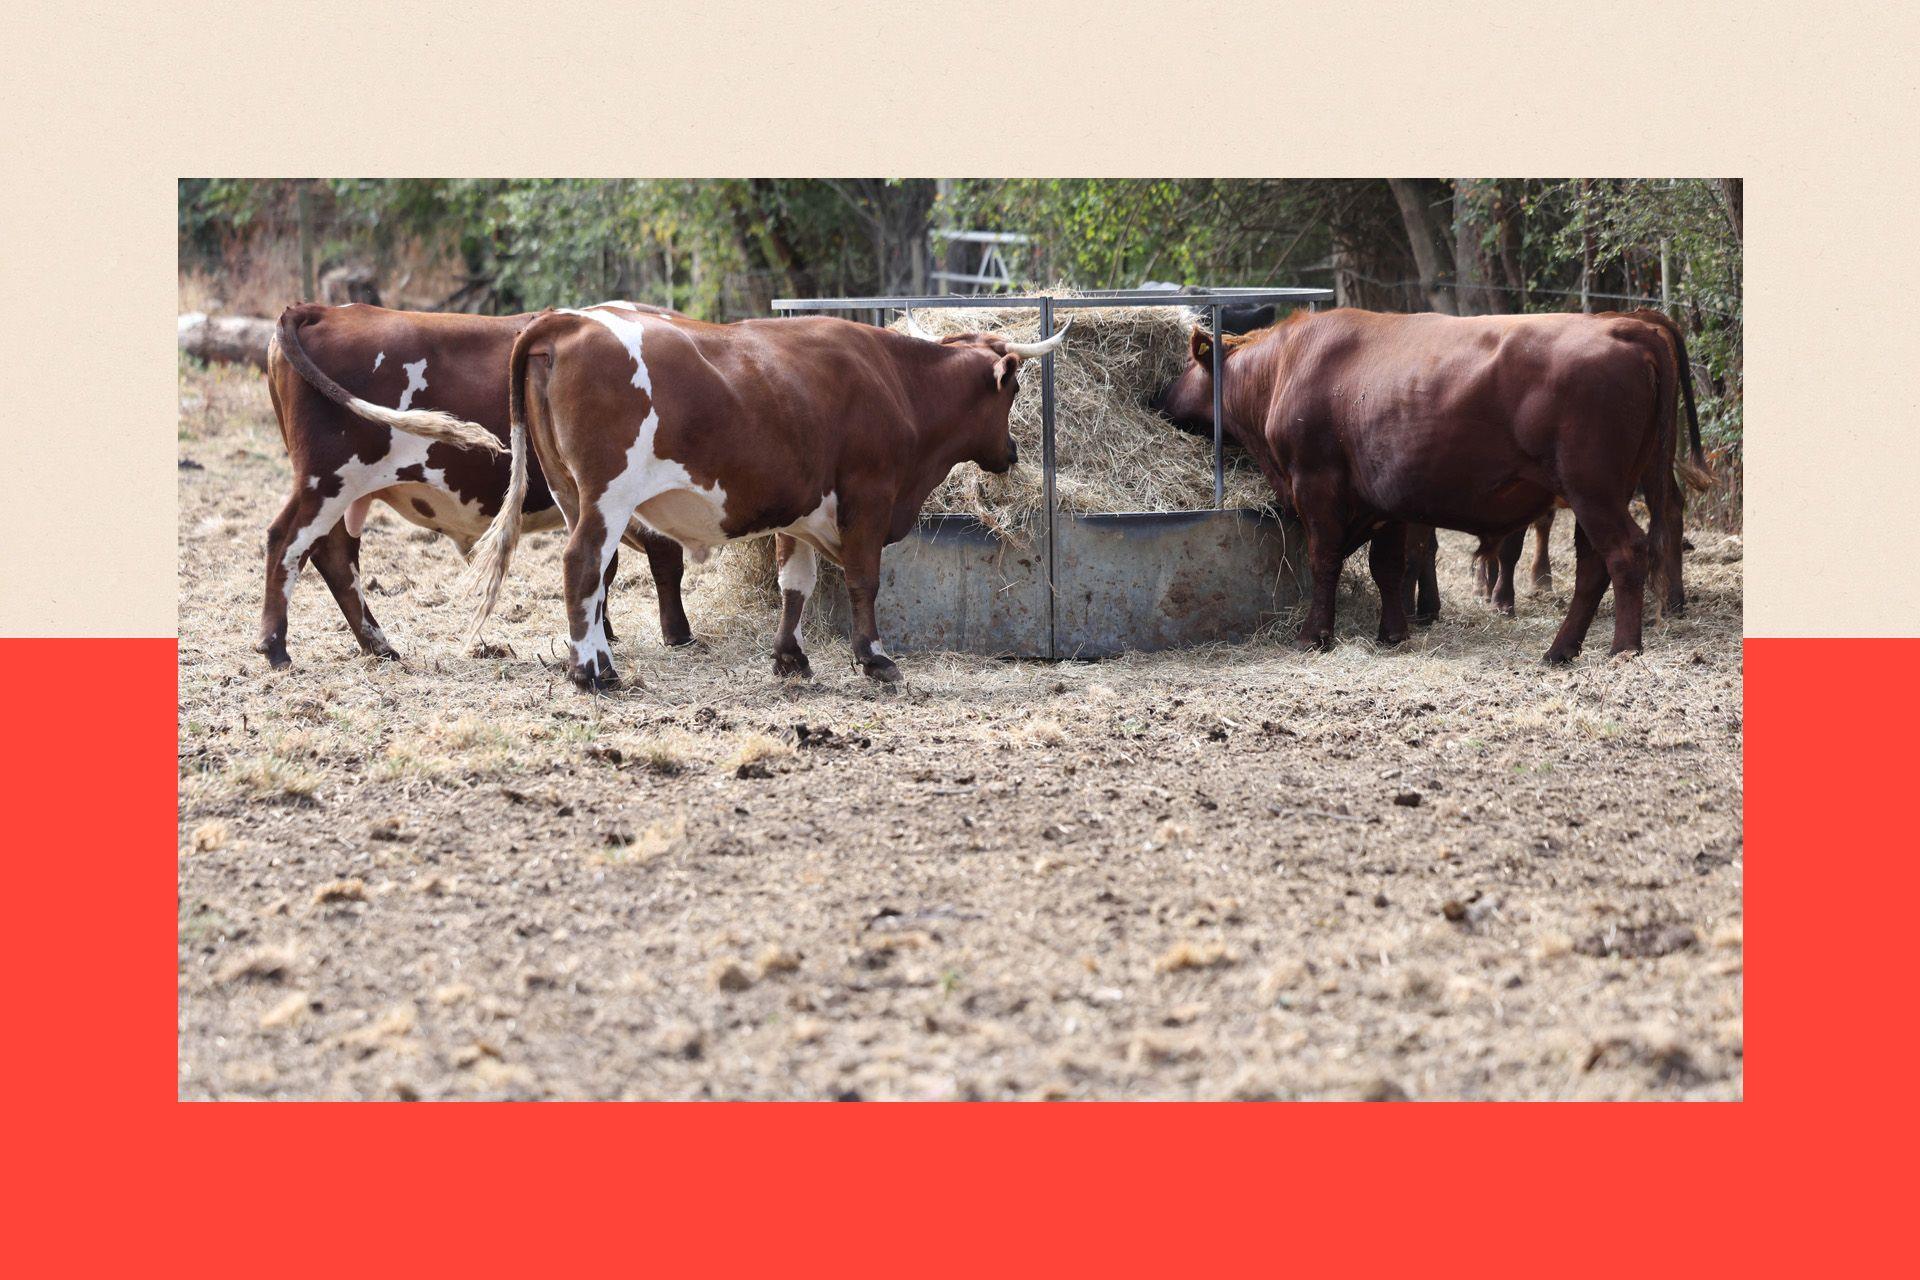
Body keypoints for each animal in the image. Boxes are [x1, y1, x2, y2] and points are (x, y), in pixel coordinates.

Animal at [257, 302, 698, 669]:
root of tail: (321, 310)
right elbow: (658, 559)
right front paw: (677, 633)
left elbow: (608, 565)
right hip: (327, 480)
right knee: (287, 541)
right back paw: (276, 648)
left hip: (340, 489)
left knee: (333, 554)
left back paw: (378, 645)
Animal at [457, 304, 1069, 690]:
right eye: (1014, 388)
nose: (1012, 452)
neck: (896, 383)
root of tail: (569, 321)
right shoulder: (869, 497)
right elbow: (864, 581)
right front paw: (875, 659)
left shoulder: (799, 511)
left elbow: (794, 584)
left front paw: (791, 658)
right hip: (607, 497)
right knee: (583, 565)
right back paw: (590, 672)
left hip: (571, 493)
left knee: (596, 580)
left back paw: (603, 664)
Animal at [1153, 308, 1712, 663]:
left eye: (1184, 366)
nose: (1159, 398)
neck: (1286, 366)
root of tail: (1627, 327)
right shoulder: (1384, 501)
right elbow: (1388, 566)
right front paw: (1392, 632)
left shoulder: (1317, 483)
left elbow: (1324, 559)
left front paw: (1315, 635)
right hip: (1601, 491)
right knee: (1594, 564)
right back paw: (1561, 649)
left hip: (1594, 488)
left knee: (1625, 552)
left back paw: (1623, 648)